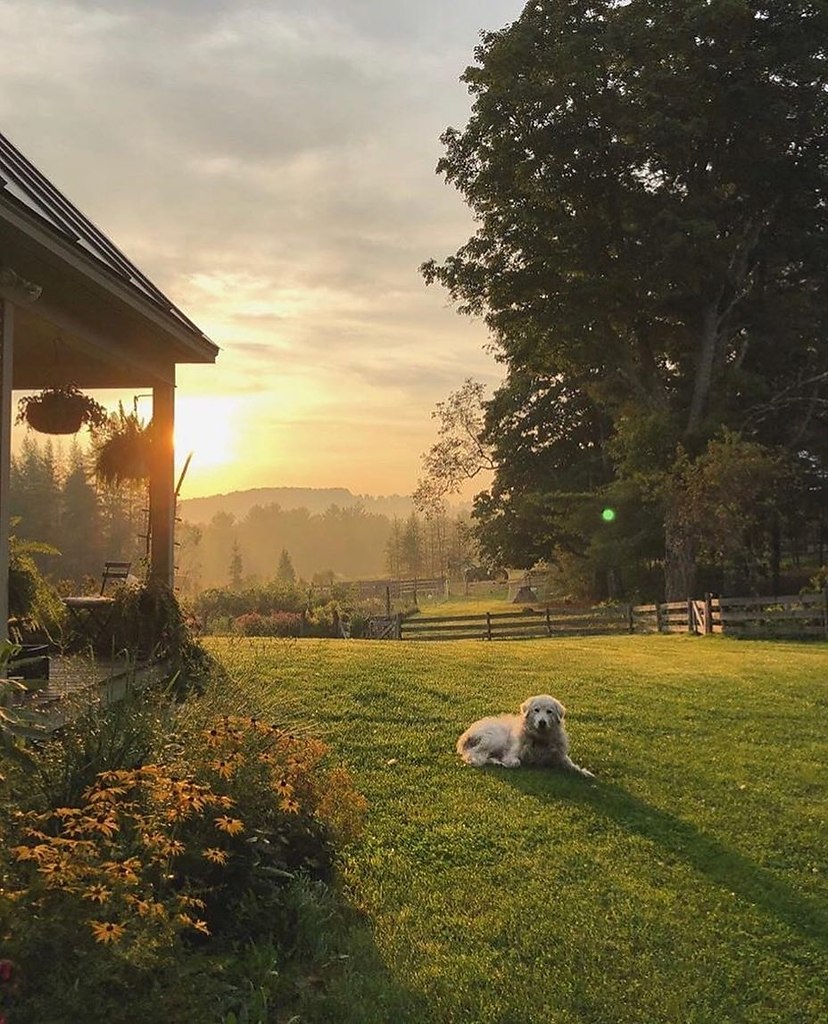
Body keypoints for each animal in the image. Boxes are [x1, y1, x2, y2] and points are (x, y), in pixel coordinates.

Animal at [452, 696, 593, 774]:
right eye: (536, 710)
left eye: (549, 712)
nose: (542, 722)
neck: (540, 739)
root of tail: (465, 735)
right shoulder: (512, 753)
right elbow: (516, 762)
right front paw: (510, 763)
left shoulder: (559, 755)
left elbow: (571, 765)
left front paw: (584, 773)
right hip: (495, 738)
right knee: (472, 754)